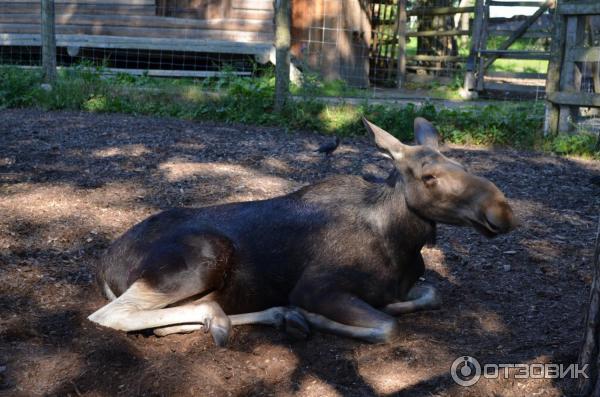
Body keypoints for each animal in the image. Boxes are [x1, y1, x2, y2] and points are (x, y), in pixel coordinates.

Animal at [89, 116, 516, 344]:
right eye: (429, 176)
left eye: (460, 164)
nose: (502, 210)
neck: (402, 243)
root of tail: (105, 266)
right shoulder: (315, 288)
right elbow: (386, 326)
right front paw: (317, 318)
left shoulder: (412, 286)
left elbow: (430, 294)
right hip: (201, 258)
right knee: (112, 315)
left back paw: (278, 316)